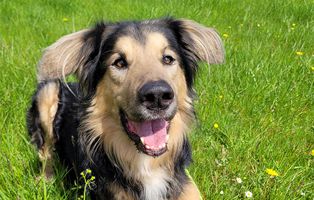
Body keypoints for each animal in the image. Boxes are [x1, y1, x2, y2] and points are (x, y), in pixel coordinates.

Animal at [26, 18, 223, 199]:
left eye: (168, 59)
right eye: (119, 62)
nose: (157, 96)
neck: (147, 163)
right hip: (49, 90)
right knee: (46, 154)